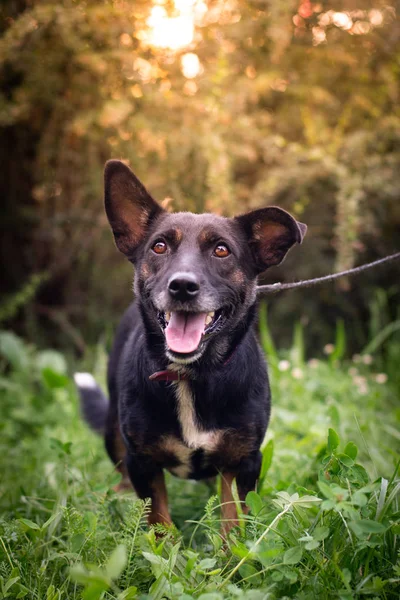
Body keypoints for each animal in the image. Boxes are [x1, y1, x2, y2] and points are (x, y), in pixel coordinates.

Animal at [75, 161, 306, 536]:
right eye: (159, 246)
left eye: (222, 250)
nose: (182, 286)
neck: (191, 374)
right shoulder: (143, 462)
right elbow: (159, 521)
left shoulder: (243, 462)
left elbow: (233, 523)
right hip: (113, 432)